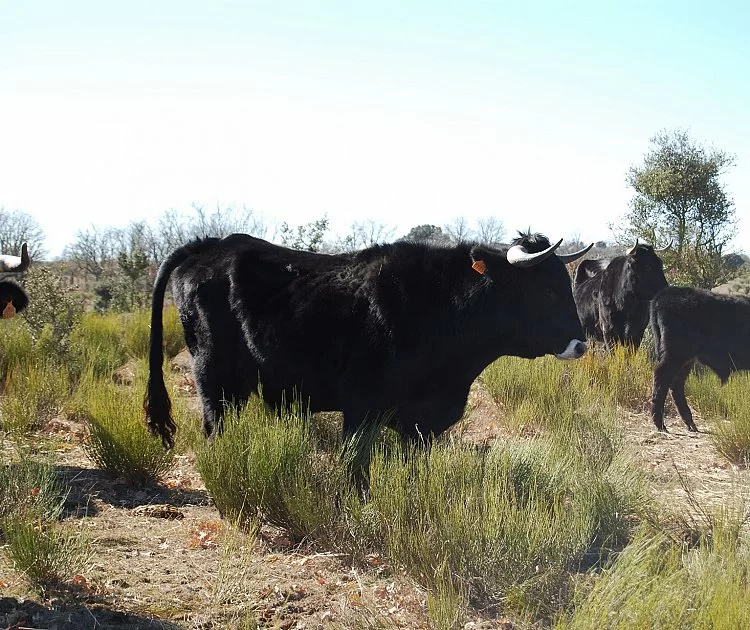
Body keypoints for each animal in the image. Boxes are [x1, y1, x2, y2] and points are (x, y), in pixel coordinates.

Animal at [147, 232, 592, 450]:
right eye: (547, 290)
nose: (581, 345)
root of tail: (210, 245)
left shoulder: (421, 422)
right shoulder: (361, 407)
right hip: (213, 376)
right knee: (213, 427)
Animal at [652, 288, 750, 432]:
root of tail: (667, 292)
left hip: (686, 359)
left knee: (676, 384)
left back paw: (690, 423)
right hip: (676, 354)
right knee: (662, 378)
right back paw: (660, 424)